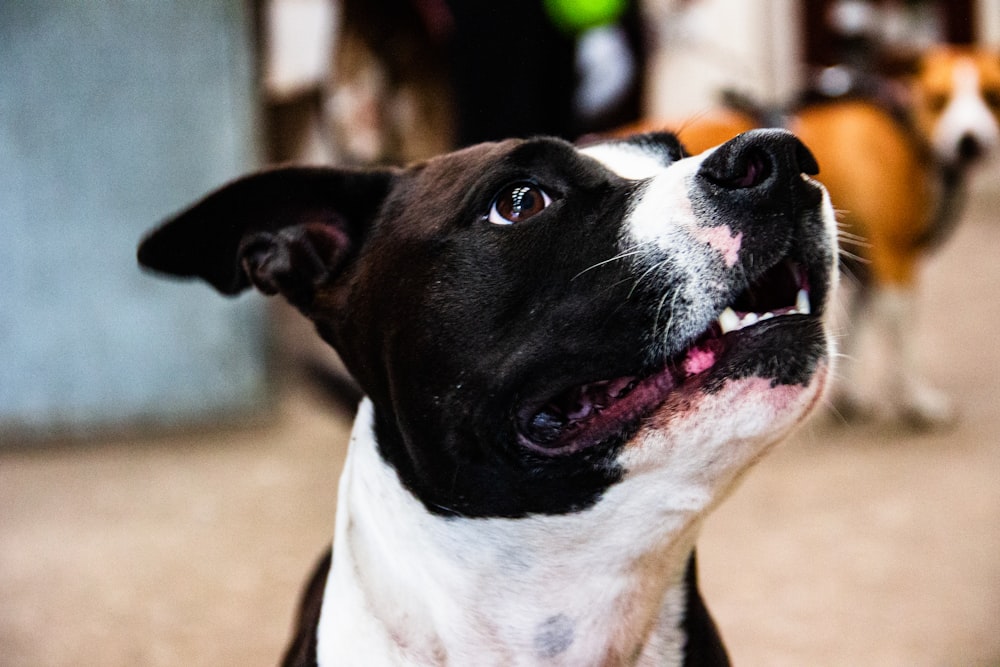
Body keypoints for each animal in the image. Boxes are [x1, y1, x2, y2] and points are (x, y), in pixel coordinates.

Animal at [624, 45, 1000, 428]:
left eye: (992, 96)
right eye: (938, 100)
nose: (969, 142)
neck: (908, 132)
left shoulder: (866, 269)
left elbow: (855, 328)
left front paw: (849, 396)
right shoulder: (895, 260)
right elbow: (904, 337)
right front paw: (918, 401)